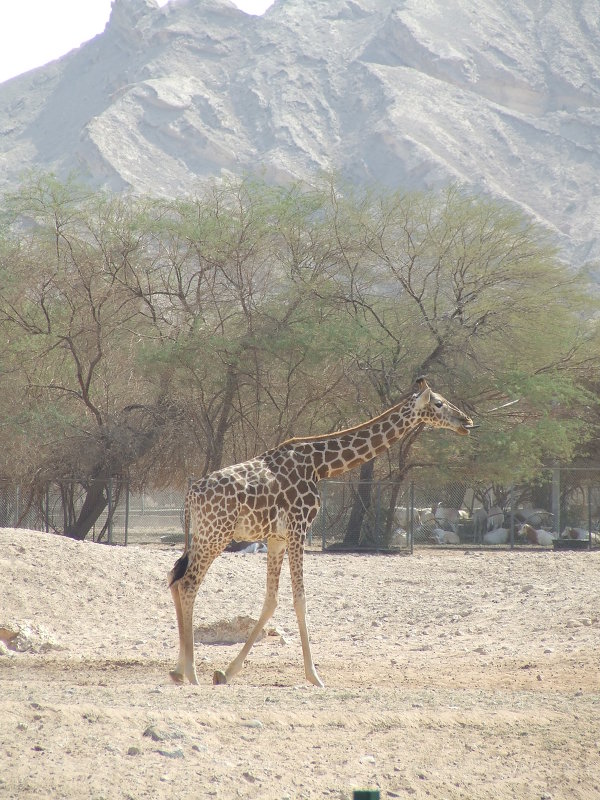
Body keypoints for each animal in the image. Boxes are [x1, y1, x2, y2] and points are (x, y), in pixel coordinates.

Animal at [168, 376, 474, 688]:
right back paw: (191, 673)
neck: (321, 466)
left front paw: (226, 672)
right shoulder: (298, 529)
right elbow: (300, 600)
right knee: (188, 583)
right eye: (439, 403)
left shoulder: (277, 538)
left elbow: (271, 600)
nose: (467, 421)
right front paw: (314, 675)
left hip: (202, 535)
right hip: (216, 534)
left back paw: (178, 670)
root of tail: (190, 495)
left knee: (174, 577)